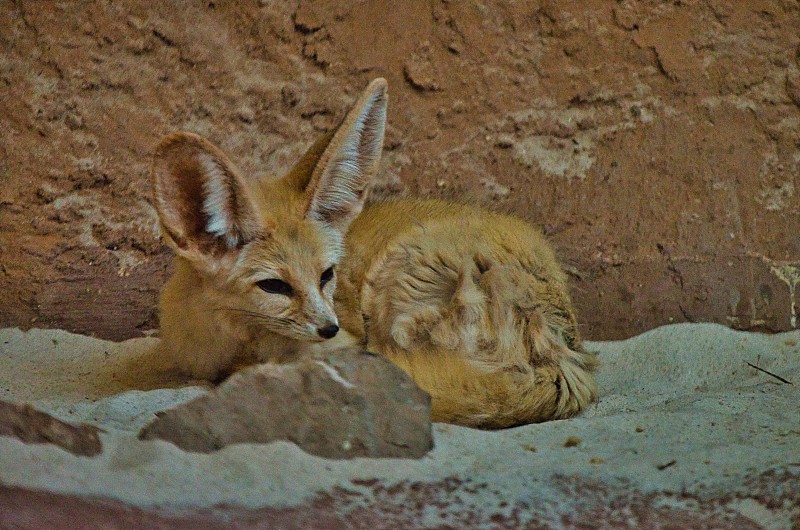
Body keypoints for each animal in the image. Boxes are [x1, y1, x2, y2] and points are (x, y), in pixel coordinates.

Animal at [153, 77, 596, 424]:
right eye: (274, 286)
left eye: (327, 275)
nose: (328, 327)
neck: (230, 340)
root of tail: (566, 360)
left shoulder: (344, 340)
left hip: (393, 282)